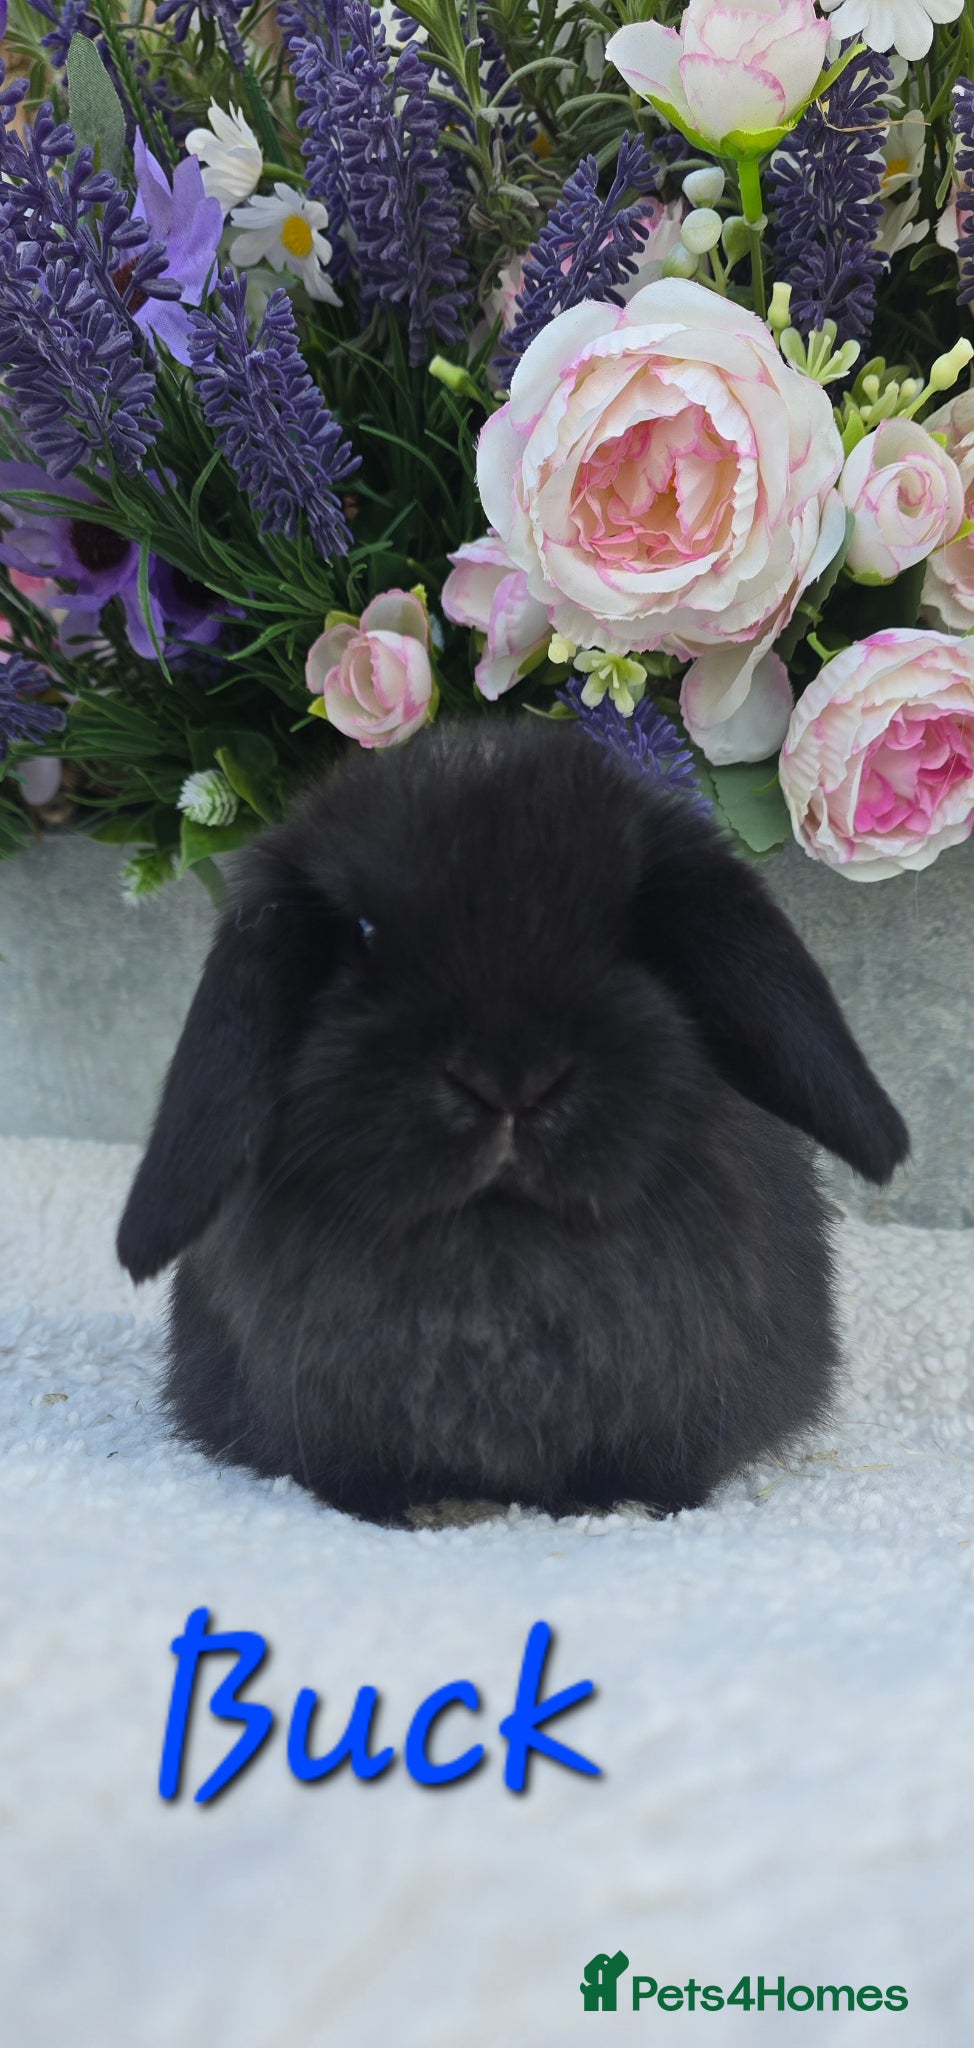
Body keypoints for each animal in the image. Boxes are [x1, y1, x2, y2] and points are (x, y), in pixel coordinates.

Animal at [117, 717, 908, 1526]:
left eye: (630, 927)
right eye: (364, 932)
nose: (509, 1079)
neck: (497, 1248)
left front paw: (620, 1503)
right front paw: (402, 1509)